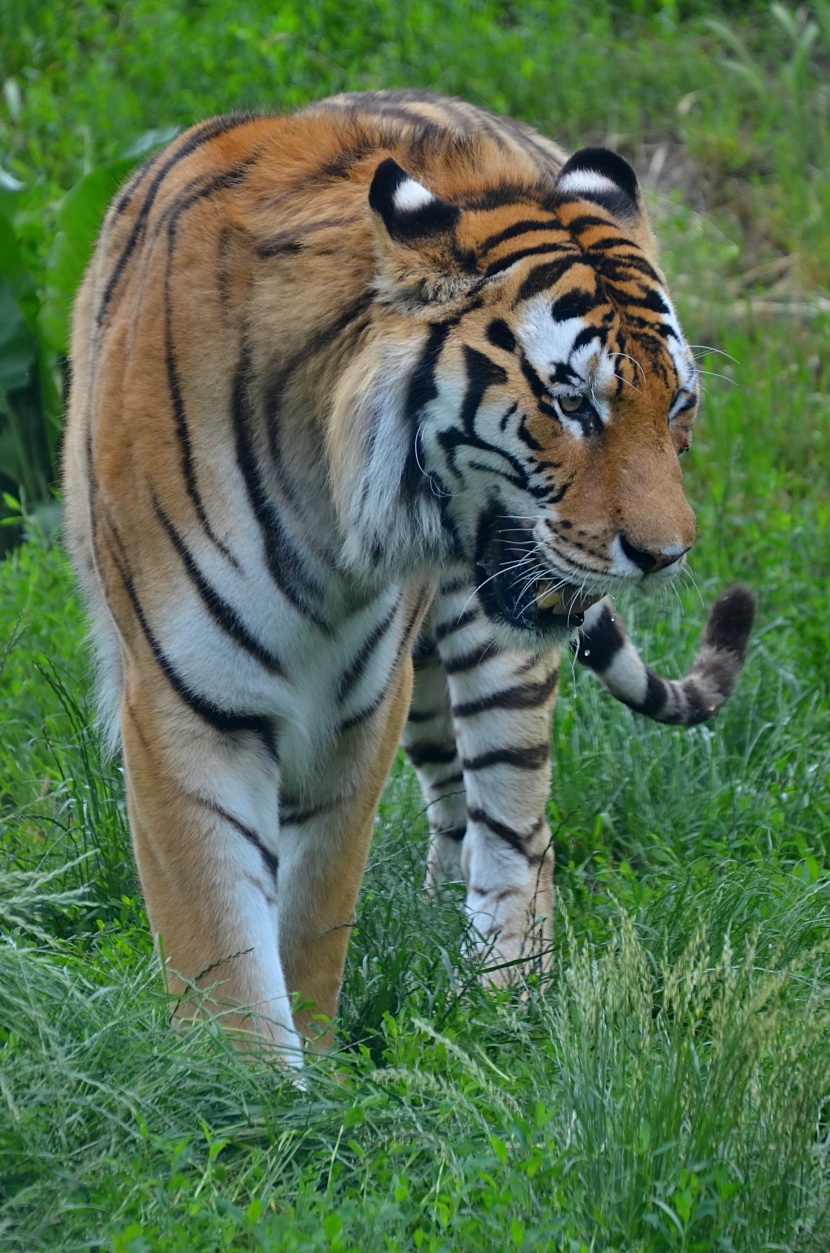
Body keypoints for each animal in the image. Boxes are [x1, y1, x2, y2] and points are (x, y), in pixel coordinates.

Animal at [63, 90, 752, 1067]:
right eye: (573, 403)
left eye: (679, 403)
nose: (666, 554)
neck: (330, 510)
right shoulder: (187, 699)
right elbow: (220, 943)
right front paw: (247, 1086)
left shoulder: (354, 707)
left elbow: (313, 914)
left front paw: (308, 1070)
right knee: (457, 804)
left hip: (492, 654)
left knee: (519, 830)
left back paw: (501, 996)